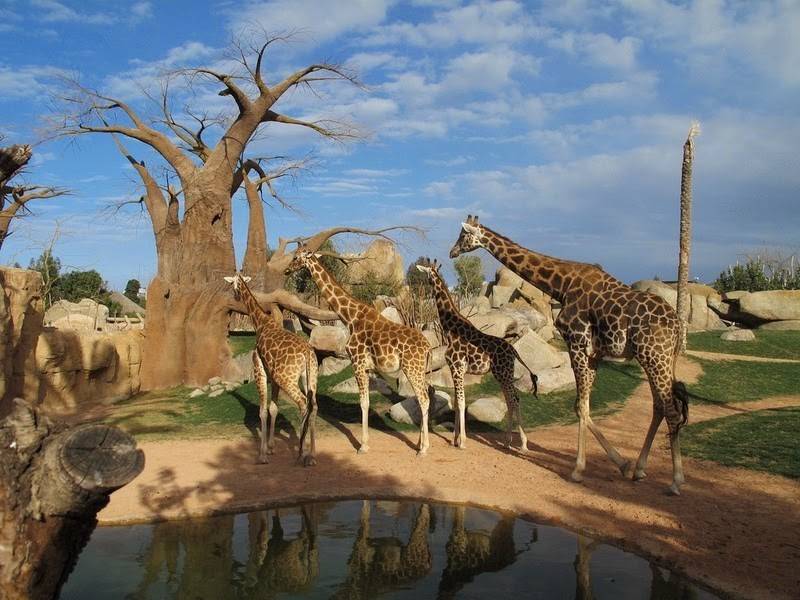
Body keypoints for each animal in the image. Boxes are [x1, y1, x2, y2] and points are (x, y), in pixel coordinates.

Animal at [222, 274, 318, 466]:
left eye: (232, 284)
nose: (235, 296)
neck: (260, 323)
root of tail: (306, 352)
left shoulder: (259, 370)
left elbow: (263, 411)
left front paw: (262, 455)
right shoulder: (273, 377)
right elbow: (273, 408)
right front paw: (272, 447)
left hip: (286, 378)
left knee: (303, 403)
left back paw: (301, 453)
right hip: (310, 377)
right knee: (314, 405)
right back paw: (312, 455)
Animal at [282, 248, 432, 454]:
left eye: (296, 257)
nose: (286, 270)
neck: (351, 317)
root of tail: (428, 347)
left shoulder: (358, 362)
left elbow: (364, 403)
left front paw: (363, 446)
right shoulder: (367, 367)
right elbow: (366, 402)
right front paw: (365, 443)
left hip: (412, 368)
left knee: (424, 399)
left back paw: (423, 449)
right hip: (421, 370)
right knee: (424, 397)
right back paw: (419, 443)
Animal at [412, 256, 536, 450]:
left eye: (425, 273)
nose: (422, 283)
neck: (450, 329)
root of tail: (514, 350)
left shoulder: (457, 368)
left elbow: (462, 402)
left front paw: (462, 441)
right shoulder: (455, 370)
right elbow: (457, 403)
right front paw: (454, 439)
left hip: (504, 373)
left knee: (515, 399)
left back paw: (523, 444)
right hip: (501, 374)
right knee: (510, 401)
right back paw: (507, 441)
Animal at [446, 218, 692, 494]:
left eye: (462, 236)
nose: (452, 252)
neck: (561, 286)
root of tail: (677, 325)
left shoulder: (576, 343)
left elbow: (580, 407)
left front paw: (578, 470)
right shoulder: (593, 353)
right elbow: (583, 406)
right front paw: (622, 464)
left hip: (654, 356)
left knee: (671, 410)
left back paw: (676, 481)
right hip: (660, 358)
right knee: (660, 406)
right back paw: (639, 469)